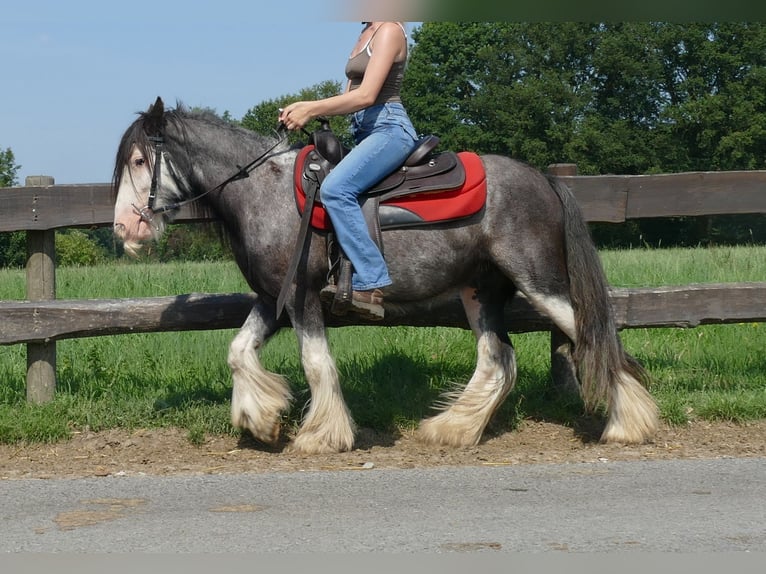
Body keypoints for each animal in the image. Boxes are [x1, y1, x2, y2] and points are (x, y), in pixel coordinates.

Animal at [114, 100, 660, 460]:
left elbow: (316, 363)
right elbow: (237, 350)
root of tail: (544, 179)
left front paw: (321, 435)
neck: (265, 193)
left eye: (140, 160)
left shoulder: (301, 297)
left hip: (542, 283)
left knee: (596, 337)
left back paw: (628, 426)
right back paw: (452, 428)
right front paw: (261, 420)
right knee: (498, 358)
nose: (125, 230)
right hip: (481, 290)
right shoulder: (273, 296)